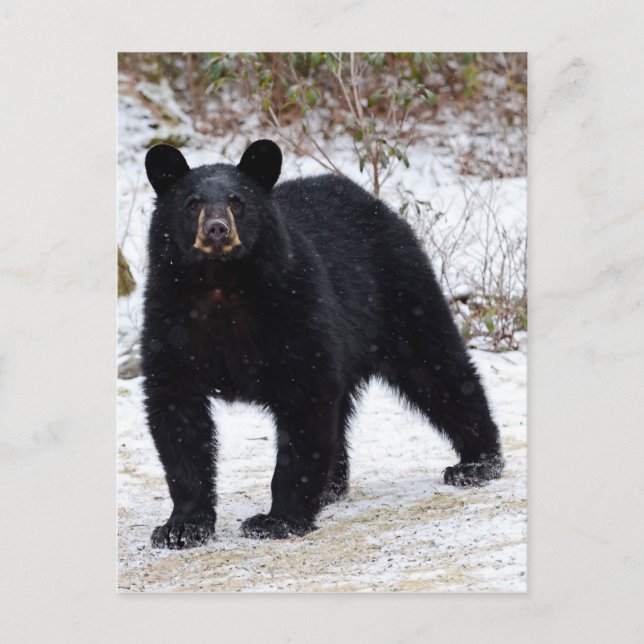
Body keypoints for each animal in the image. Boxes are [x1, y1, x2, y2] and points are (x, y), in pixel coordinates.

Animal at [142, 139, 504, 549]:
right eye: (192, 202)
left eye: (237, 201)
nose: (217, 230)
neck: (222, 283)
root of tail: (370, 199)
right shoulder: (169, 318)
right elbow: (177, 411)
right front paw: (181, 528)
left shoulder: (294, 307)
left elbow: (304, 403)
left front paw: (276, 520)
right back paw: (331, 486)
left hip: (398, 293)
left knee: (438, 367)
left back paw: (477, 463)